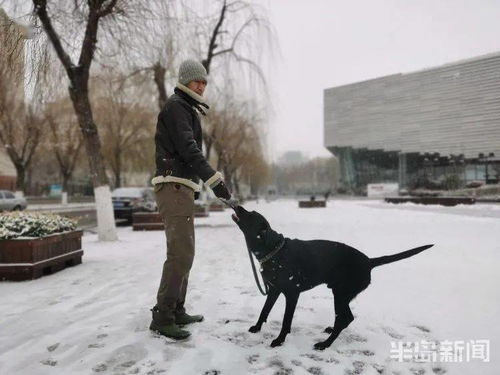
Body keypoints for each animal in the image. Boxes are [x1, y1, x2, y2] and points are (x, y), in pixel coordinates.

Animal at [232, 206, 432, 350]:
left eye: (251, 215)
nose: (238, 206)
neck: (275, 251)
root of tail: (368, 261)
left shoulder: (292, 293)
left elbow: (286, 320)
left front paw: (279, 340)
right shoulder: (274, 290)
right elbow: (264, 311)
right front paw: (257, 328)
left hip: (341, 294)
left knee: (346, 318)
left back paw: (325, 344)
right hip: (341, 294)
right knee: (344, 318)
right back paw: (330, 332)